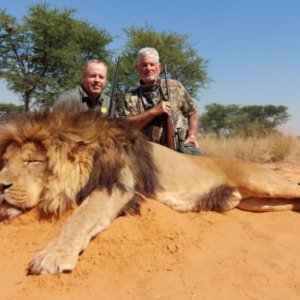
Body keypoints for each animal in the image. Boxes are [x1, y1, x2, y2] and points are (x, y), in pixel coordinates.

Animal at [0, 109, 298, 276]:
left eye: (33, 161)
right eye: (5, 161)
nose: (1, 185)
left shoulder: (117, 187)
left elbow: (79, 219)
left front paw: (51, 257)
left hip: (262, 183)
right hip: (258, 203)